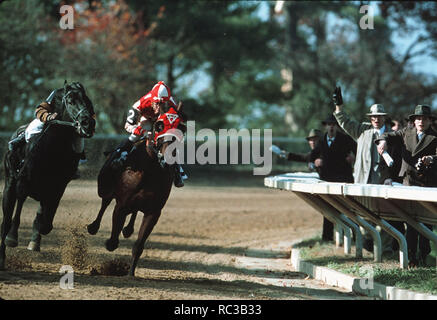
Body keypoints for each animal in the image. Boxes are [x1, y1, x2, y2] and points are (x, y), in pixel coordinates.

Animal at [0, 80, 95, 270]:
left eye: (88, 102)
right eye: (70, 101)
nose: (88, 123)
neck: (53, 149)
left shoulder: (58, 187)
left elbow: (46, 222)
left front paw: (35, 239)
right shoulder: (23, 180)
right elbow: (19, 205)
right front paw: (13, 237)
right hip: (9, 184)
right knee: (6, 220)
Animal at [87, 104, 185, 276]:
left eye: (181, 127)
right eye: (160, 125)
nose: (169, 154)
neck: (150, 170)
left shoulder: (153, 212)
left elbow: (139, 245)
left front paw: (130, 273)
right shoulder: (121, 205)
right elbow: (113, 241)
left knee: (133, 212)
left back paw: (127, 229)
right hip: (106, 188)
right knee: (105, 202)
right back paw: (93, 227)